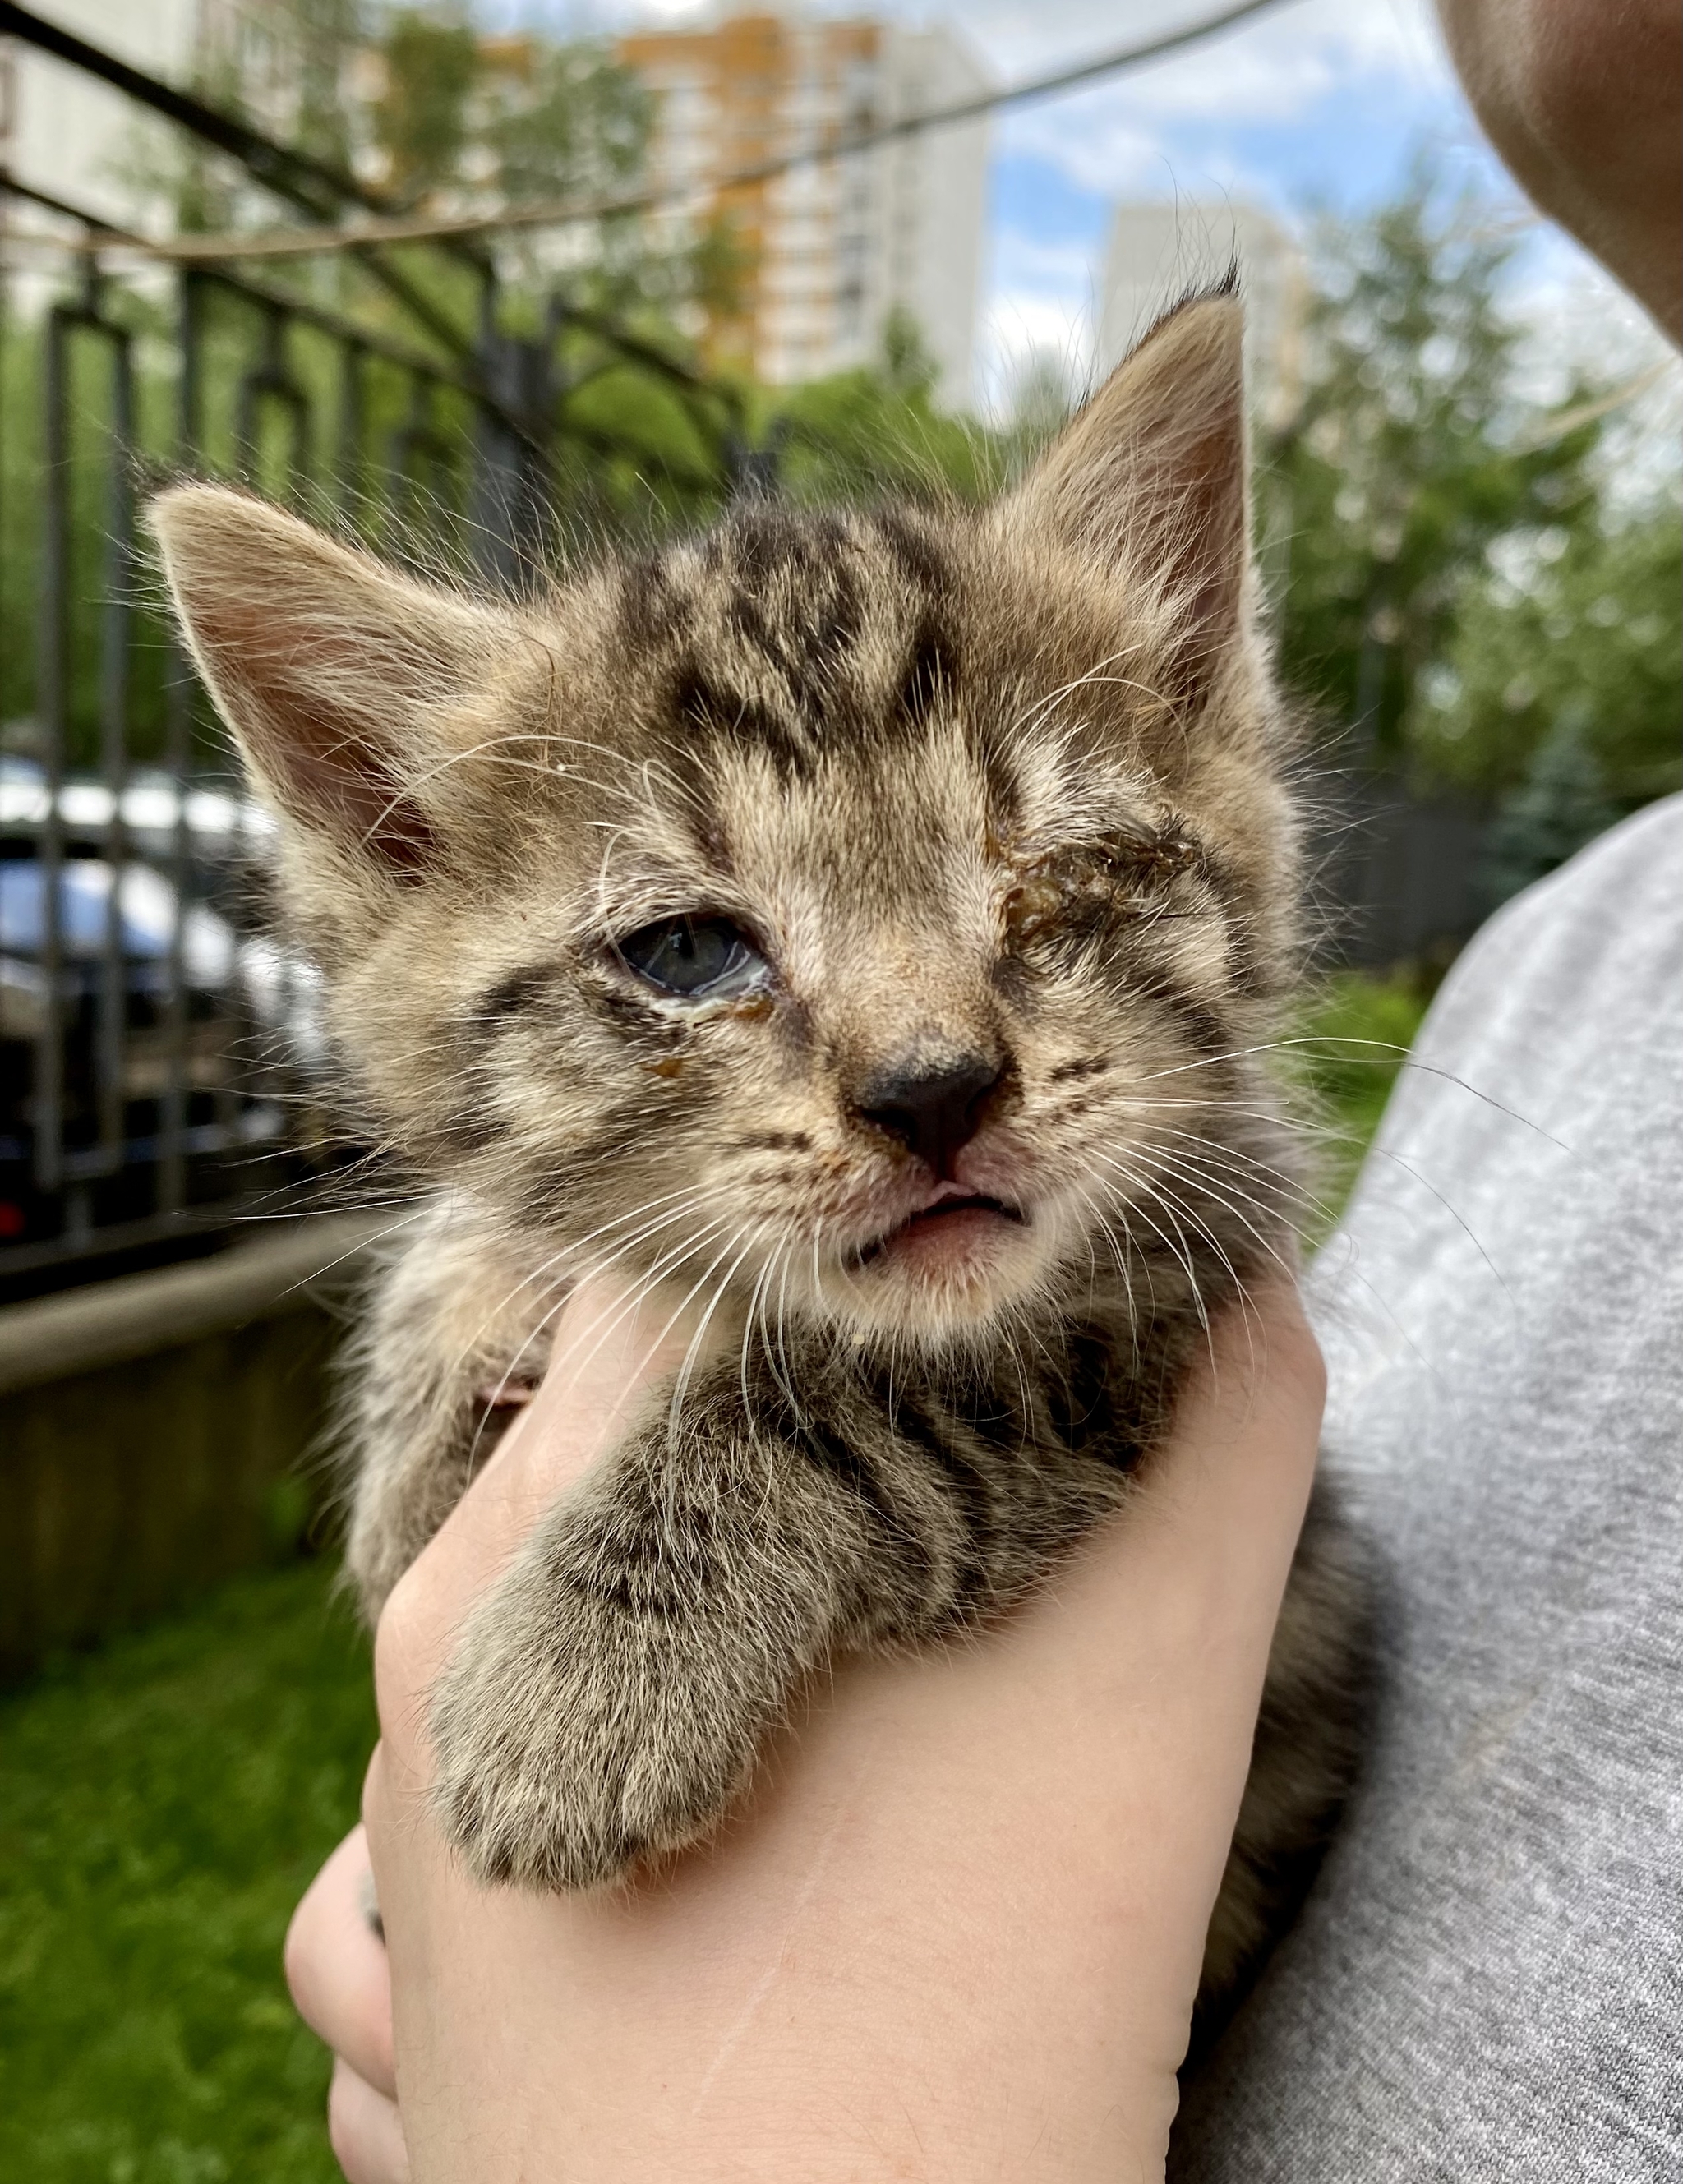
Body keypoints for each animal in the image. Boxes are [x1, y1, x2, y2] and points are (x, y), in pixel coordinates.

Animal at [151, 290, 1371, 2009]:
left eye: (1055, 877)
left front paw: (579, 1679)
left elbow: (856, 1399)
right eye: (685, 951)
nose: (933, 1088)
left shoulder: (1172, 1270)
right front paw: (418, 1446)